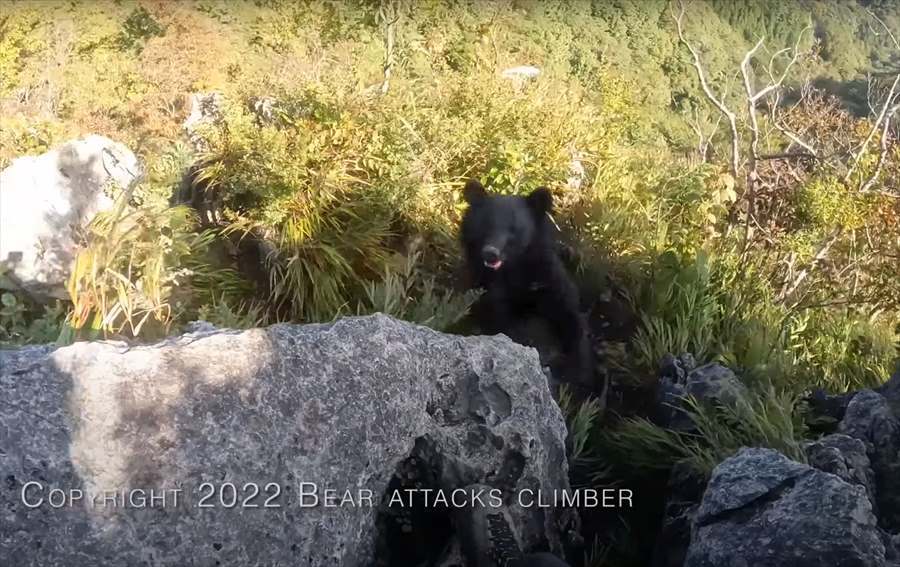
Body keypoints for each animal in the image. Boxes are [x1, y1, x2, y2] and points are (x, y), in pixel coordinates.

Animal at [460, 180, 596, 388]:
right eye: (486, 224)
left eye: (514, 229)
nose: (491, 253)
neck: (515, 269)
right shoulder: (487, 290)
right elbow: (504, 323)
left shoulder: (548, 280)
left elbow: (571, 317)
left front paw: (575, 374)